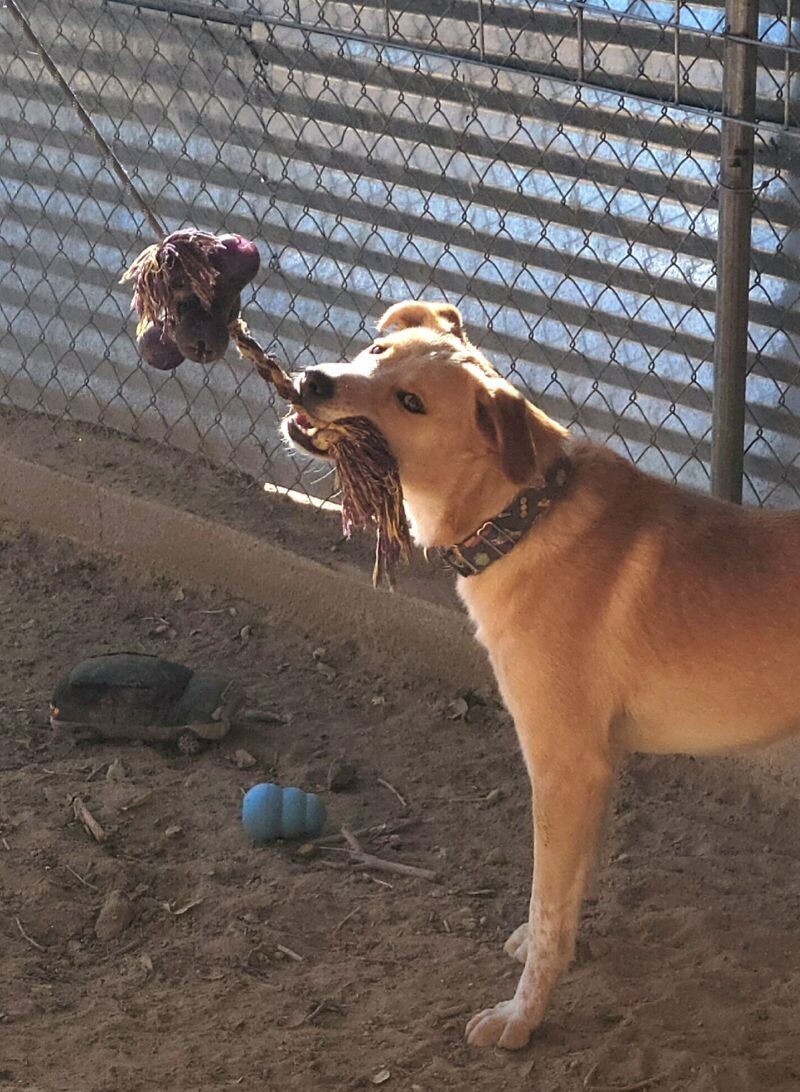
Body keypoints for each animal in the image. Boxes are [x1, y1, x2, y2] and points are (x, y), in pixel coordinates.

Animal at [283, 299, 798, 1048]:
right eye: (376, 351)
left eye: (410, 402)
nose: (313, 381)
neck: (520, 516)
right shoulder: (596, 767)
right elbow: (570, 891)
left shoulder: (561, 765)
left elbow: (549, 902)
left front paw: (520, 1018)